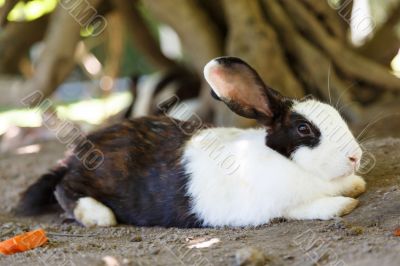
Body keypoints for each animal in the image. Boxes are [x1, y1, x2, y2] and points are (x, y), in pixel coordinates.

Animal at [15, 56, 366, 227]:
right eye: (304, 129)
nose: (356, 157)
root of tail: (76, 154)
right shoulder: (279, 205)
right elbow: (311, 208)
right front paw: (343, 204)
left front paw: (356, 185)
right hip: (91, 177)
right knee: (64, 187)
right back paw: (98, 216)